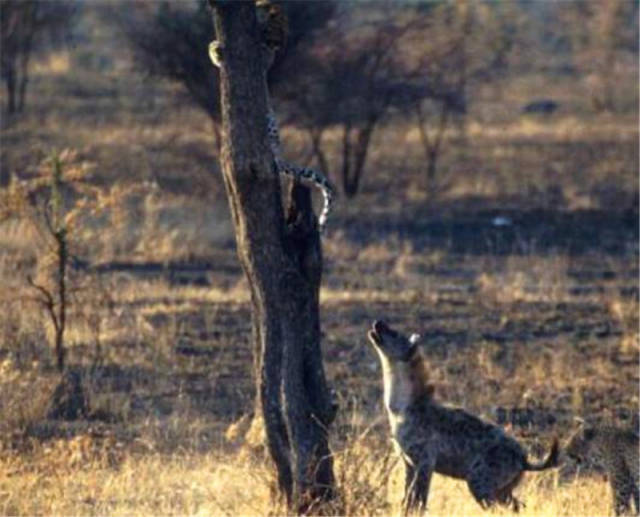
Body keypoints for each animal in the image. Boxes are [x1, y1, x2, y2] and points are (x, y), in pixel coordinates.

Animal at [209, 0, 336, 230]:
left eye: (282, 32)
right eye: (277, 28)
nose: (279, 44)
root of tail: (279, 152)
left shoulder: (263, 59)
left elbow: (260, 57)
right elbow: (214, 52)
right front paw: (215, 48)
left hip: (271, 127)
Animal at [368, 318, 556, 512]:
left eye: (394, 332)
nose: (378, 322)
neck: (401, 407)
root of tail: (523, 457)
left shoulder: (425, 460)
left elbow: (420, 498)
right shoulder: (408, 461)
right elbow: (407, 498)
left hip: (481, 479)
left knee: (493, 502)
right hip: (503, 487)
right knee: (516, 504)